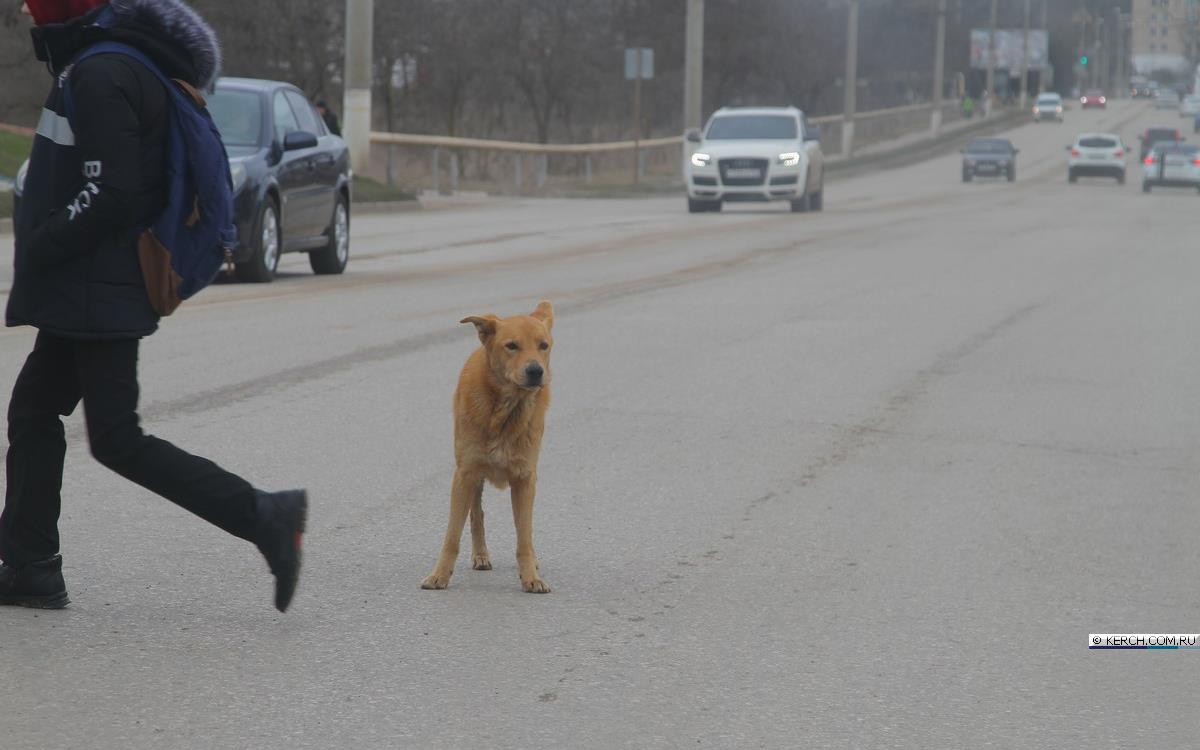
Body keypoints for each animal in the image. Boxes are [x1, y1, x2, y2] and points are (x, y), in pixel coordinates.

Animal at [420, 301, 554, 592]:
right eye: (511, 345)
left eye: (543, 345)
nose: (536, 371)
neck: (505, 412)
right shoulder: (464, 474)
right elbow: (452, 535)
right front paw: (439, 575)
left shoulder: (525, 478)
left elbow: (524, 535)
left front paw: (531, 576)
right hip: (474, 476)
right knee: (477, 514)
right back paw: (480, 555)